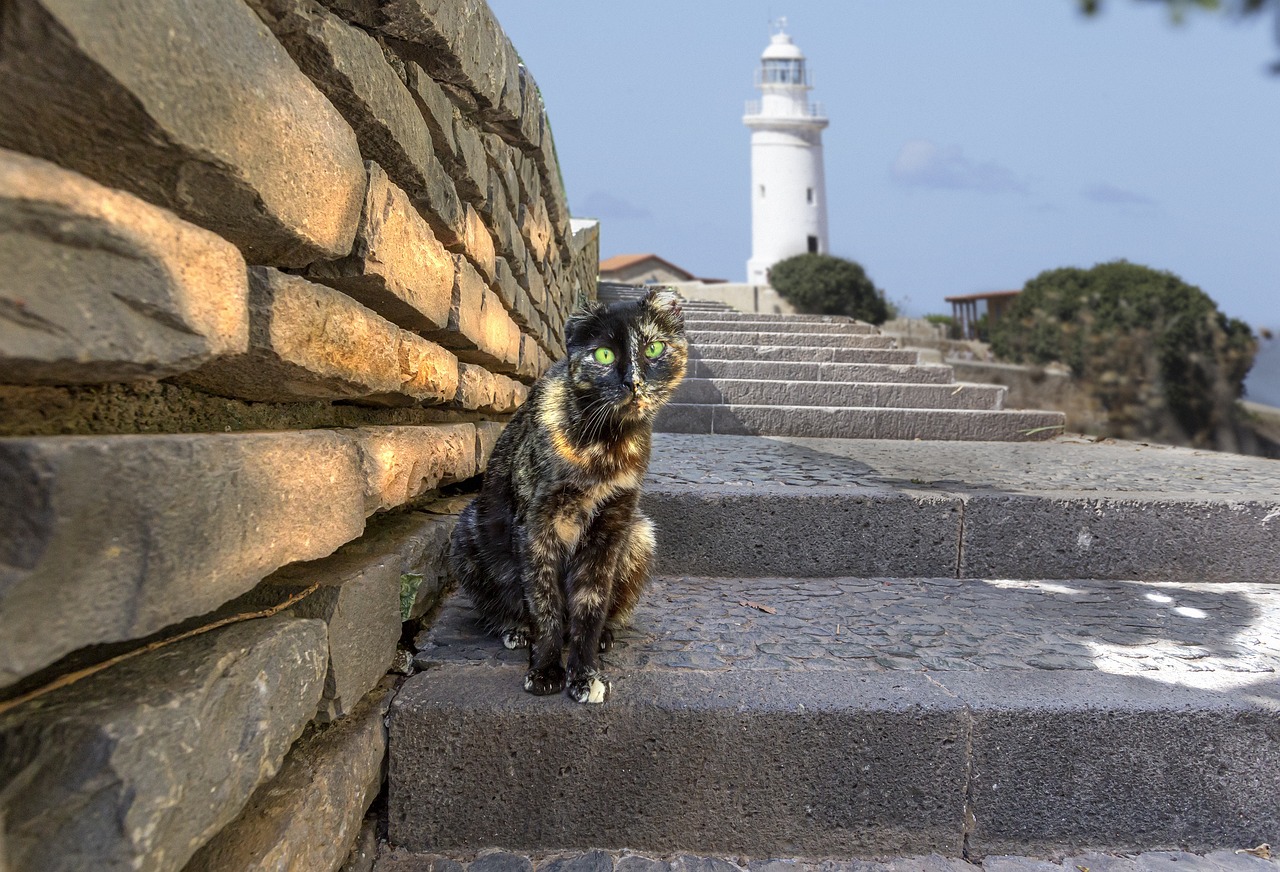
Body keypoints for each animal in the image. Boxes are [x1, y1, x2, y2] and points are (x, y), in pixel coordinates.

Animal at [453, 289, 691, 701]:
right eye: (604, 355)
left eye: (654, 348)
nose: (634, 382)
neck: (604, 446)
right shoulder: (535, 526)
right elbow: (544, 603)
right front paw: (546, 669)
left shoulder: (611, 528)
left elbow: (590, 605)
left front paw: (584, 673)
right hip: (469, 529)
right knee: (504, 606)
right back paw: (515, 631)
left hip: (641, 534)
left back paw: (606, 637)